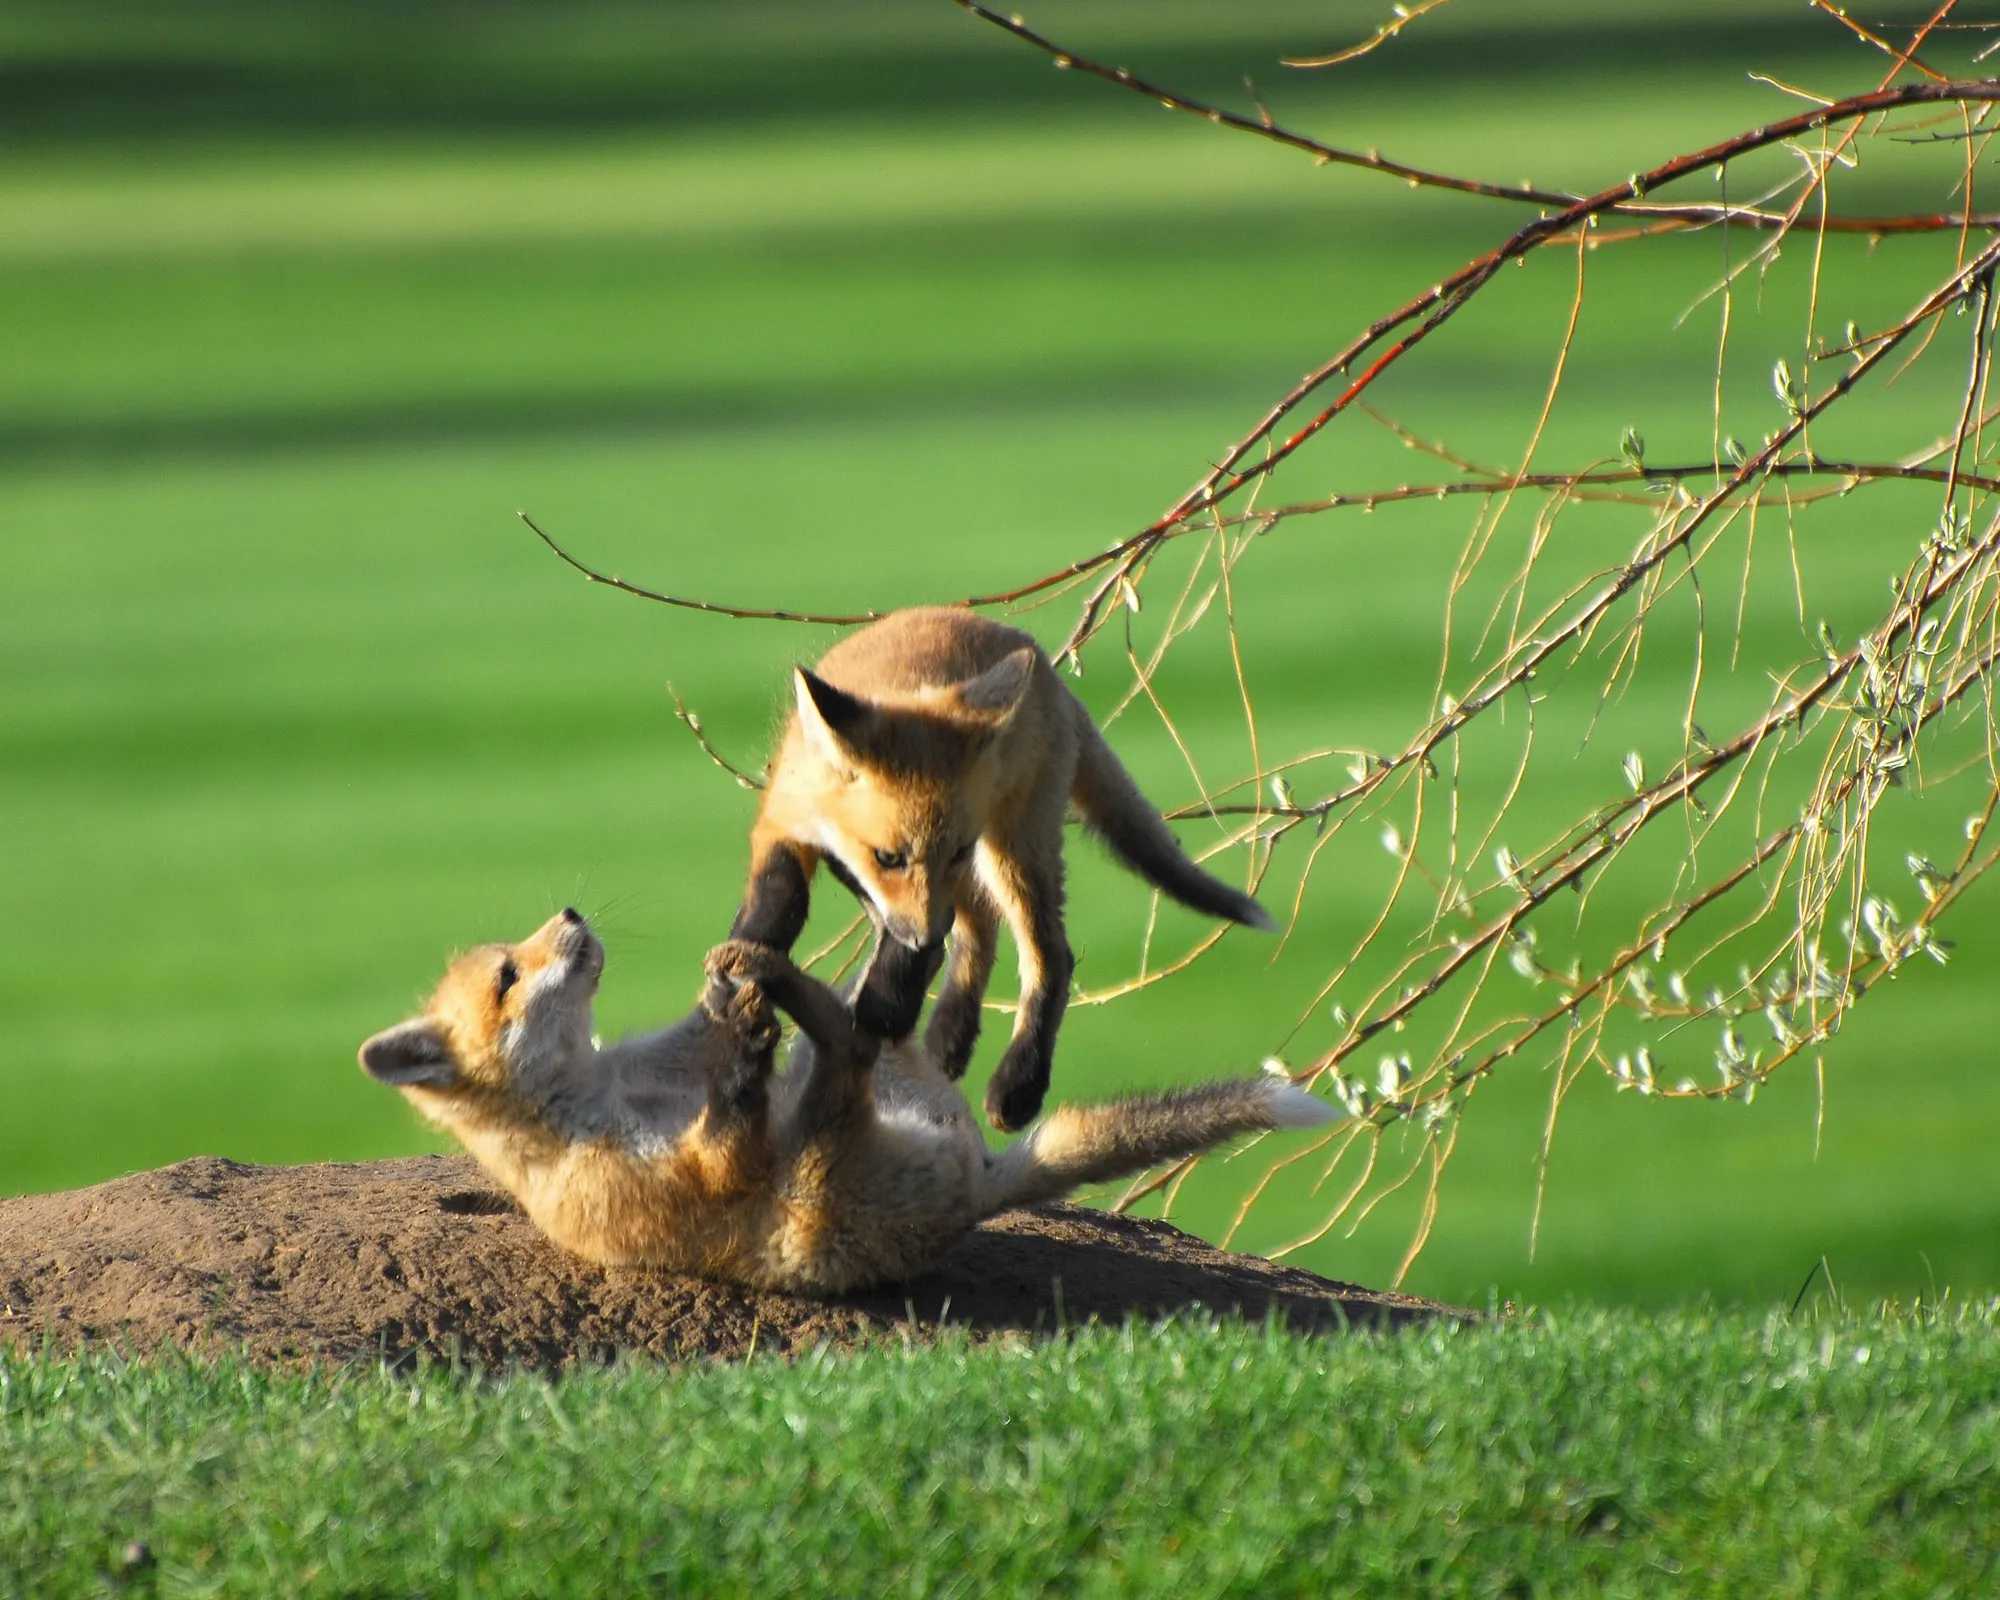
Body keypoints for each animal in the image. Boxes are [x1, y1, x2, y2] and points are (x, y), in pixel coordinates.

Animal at [357, 908, 1332, 1294]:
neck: (611, 1091)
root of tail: (979, 1186)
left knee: (868, 1031)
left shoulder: (673, 1057)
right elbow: (730, 1138)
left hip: (866, 1101)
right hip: (814, 1188)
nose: (570, 915)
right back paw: (801, 994)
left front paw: (731, 989)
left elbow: (706, 1028)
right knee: (844, 1055)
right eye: (509, 977)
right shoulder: (685, 1184)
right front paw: (746, 1038)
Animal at [731, 606, 1275, 1134]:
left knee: (1049, 953)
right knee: (978, 928)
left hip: (1011, 849)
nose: (925, 939)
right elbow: (780, 896)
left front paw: (888, 1004)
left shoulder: (943, 876)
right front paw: (748, 950)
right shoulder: (785, 819)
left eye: (950, 851)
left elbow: (907, 944)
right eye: (888, 858)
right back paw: (950, 1032)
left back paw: (1020, 1080)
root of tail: (1046, 670)